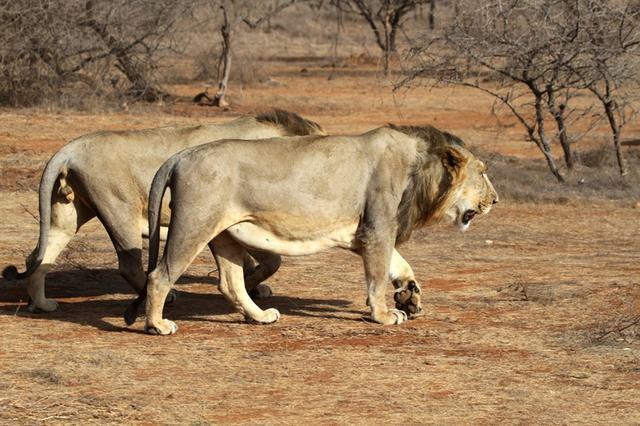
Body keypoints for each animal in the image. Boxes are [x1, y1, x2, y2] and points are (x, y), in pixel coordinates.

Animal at [2, 110, 328, 312]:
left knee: (39, 257)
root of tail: (67, 150)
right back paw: (167, 296)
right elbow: (272, 261)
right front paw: (250, 286)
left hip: (68, 213)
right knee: (129, 265)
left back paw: (41, 305)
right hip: (120, 209)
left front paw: (253, 288)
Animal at [135, 121, 498, 334]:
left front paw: (410, 296)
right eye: (482, 172)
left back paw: (260, 316)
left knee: (230, 283)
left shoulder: (373, 233)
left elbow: (400, 264)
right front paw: (384, 315)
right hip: (193, 225)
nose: (495, 200)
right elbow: (378, 278)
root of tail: (181, 155)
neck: (420, 171)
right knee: (159, 276)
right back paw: (157, 325)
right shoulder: (376, 230)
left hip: (225, 235)